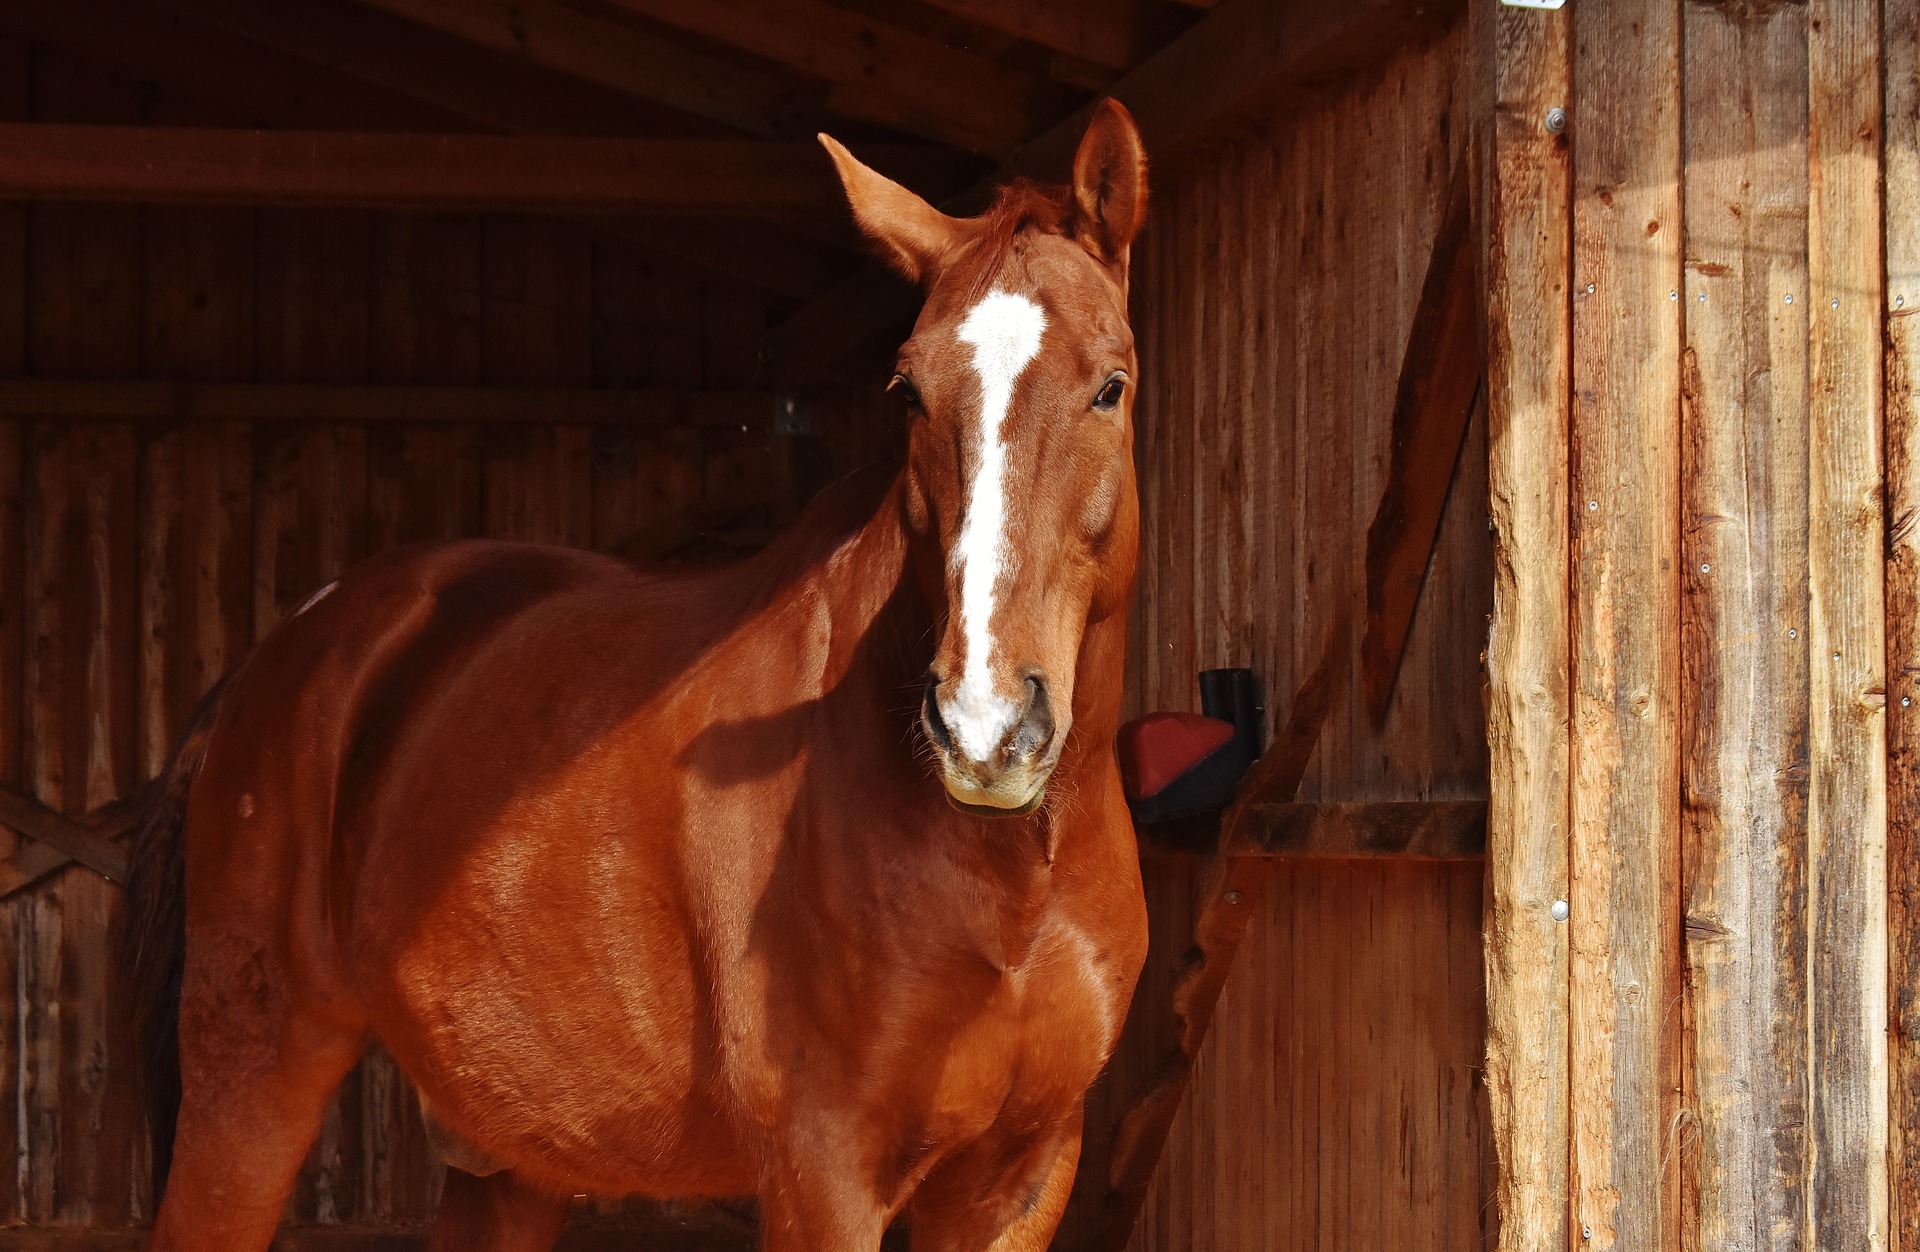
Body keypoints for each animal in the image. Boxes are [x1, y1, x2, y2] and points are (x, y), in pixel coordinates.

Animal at [119, 98, 1152, 1252]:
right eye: (908, 390)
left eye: (1110, 385)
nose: (982, 724)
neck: (1007, 877)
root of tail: (282, 651)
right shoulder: (823, 1173)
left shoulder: (1018, 1178)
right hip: (251, 1086)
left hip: (505, 1160)